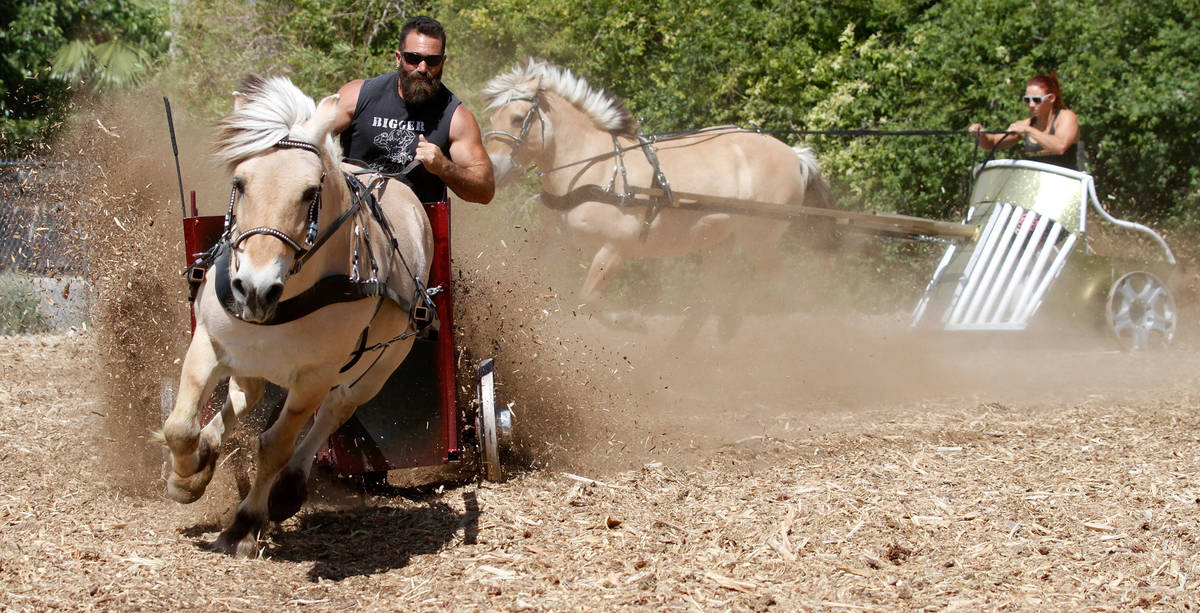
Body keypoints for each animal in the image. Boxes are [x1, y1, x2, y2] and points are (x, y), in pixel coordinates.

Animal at [157, 75, 432, 556]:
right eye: (240, 181)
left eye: (310, 192)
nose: (254, 288)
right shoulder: (208, 341)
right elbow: (181, 426)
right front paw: (186, 476)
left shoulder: (315, 376)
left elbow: (275, 445)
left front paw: (244, 524)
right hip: (252, 357)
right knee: (244, 395)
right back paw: (209, 452)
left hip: (382, 365)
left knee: (336, 408)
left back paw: (287, 489)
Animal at [482, 59, 830, 338]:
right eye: (493, 118)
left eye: (517, 119)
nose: (493, 170)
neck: (594, 168)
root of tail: (794, 155)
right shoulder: (558, 243)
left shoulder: (616, 248)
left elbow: (587, 299)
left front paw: (633, 322)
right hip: (720, 243)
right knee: (711, 296)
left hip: (758, 238)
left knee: (772, 275)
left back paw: (730, 321)